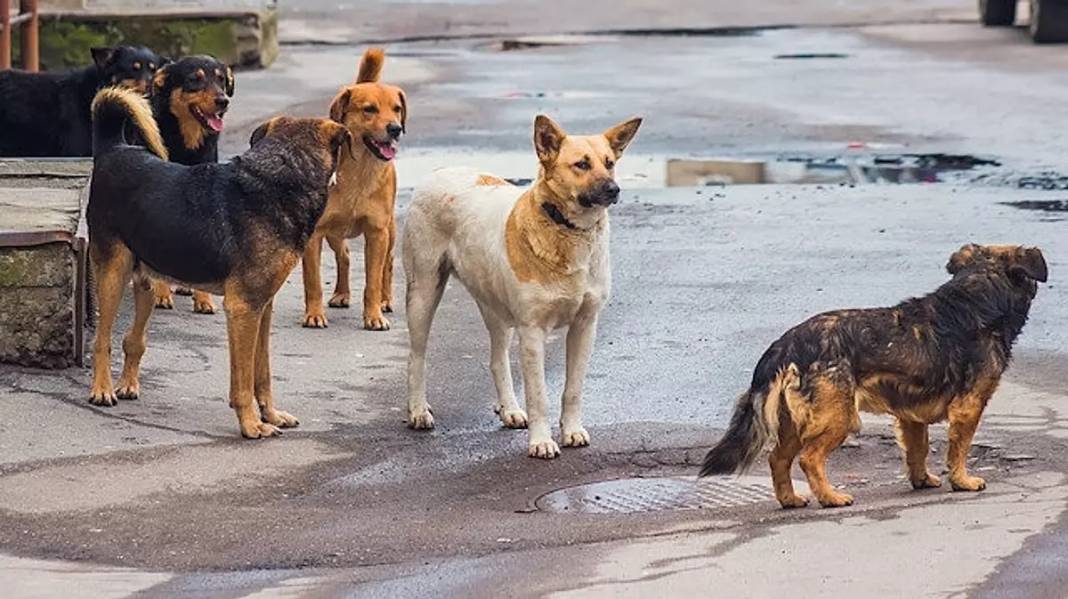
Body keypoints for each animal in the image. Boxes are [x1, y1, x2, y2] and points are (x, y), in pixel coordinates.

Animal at [86, 85, 350, 439]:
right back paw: (102, 390)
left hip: (146, 282)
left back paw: (127, 384)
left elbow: (262, 373)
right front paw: (251, 424)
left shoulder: (262, 307)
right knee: (102, 340)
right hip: (113, 274)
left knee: (133, 339)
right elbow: (243, 381)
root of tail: (113, 149)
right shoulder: (243, 308)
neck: (281, 178)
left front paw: (271, 414)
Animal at [146, 54, 236, 313]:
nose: (223, 101)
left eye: (221, 80)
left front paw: (203, 299)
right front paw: (161, 294)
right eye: (194, 80)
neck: (186, 144)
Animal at [401, 113, 636, 456]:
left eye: (610, 163)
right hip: (423, 293)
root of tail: (440, 171)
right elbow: (539, 396)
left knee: (497, 360)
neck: (567, 230)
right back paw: (418, 410)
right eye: (581, 164)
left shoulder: (585, 326)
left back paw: (509, 409)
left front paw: (571, 431)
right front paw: (541, 441)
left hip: (495, 307)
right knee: (416, 357)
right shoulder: (533, 332)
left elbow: (573, 389)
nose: (613, 189)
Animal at [704, 245, 1046, 506]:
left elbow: (918, 450)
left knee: (778, 459)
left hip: (793, 421)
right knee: (809, 458)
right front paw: (962, 480)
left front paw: (921, 480)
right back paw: (831, 497)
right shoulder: (969, 407)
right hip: (838, 417)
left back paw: (790, 499)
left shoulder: (911, 416)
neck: (975, 298)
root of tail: (786, 344)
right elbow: (959, 449)